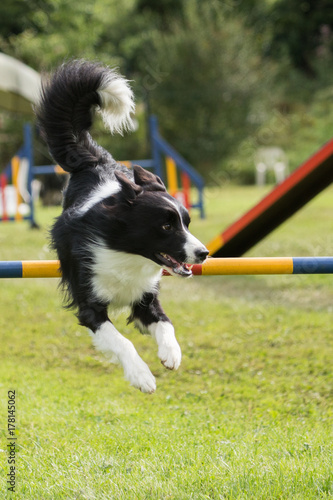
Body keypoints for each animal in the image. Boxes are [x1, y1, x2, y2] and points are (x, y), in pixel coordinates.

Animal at [36, 60, 208, 392]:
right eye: (166, 227)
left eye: (187, 222)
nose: (204, 253)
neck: (129, 254)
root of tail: (96, 161)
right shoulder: (90, 307)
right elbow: (122, 342)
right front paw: (142, 376)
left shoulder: (146, 298)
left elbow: (166, 323)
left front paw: (171, 354)